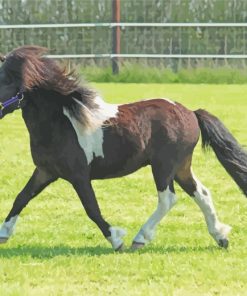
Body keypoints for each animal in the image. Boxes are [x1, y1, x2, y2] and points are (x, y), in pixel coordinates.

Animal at [0, 47, 246, 251]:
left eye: (4, 81)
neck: (61, 122)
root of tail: (191, 113)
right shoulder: (46, 171)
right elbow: (21, 198)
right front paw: (4, 233)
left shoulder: (79, 175)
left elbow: (91, 208)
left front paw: (116, 240)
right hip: (180, 167)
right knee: (201, 193)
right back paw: (221, 237)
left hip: (163, 166)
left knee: (168, 199)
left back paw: (140, 239)